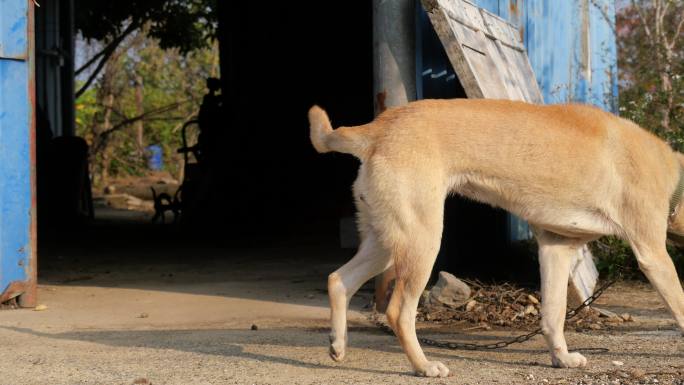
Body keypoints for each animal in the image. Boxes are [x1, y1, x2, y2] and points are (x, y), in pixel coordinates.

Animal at [308, 98, 684, 376]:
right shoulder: (653, 255)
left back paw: (338, 344)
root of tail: (380, 127)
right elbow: (679, 306)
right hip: (422, 243)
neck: (676, 177)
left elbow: (554, 314)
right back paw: (424, 366)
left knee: (338, 280)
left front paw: (561, 358)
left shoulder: (556, 247)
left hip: (387, 241)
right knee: (399, 312)